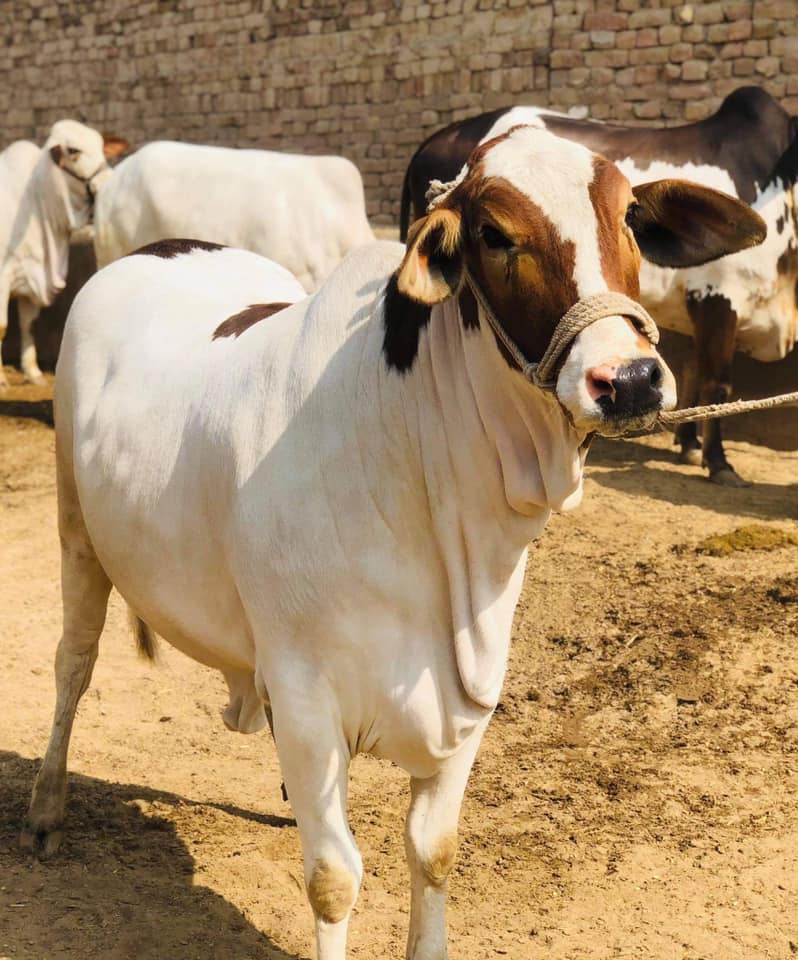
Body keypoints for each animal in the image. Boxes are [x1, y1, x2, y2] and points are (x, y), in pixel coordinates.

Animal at [0, 120, 114, 389]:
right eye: (74, 151)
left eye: (102, 146)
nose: (107, 180)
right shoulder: (3, 276)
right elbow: (2, 326)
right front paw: (1, 379)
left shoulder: (30, 277)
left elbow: (28, 324)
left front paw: (33, 372)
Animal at [401, 86, 798, 485]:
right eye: (493, 234)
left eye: (631, 215)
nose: (632, 382)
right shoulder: (718, 297)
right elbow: (717, 381)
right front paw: (718, 462)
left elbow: (694, 373)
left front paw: (689, 445)